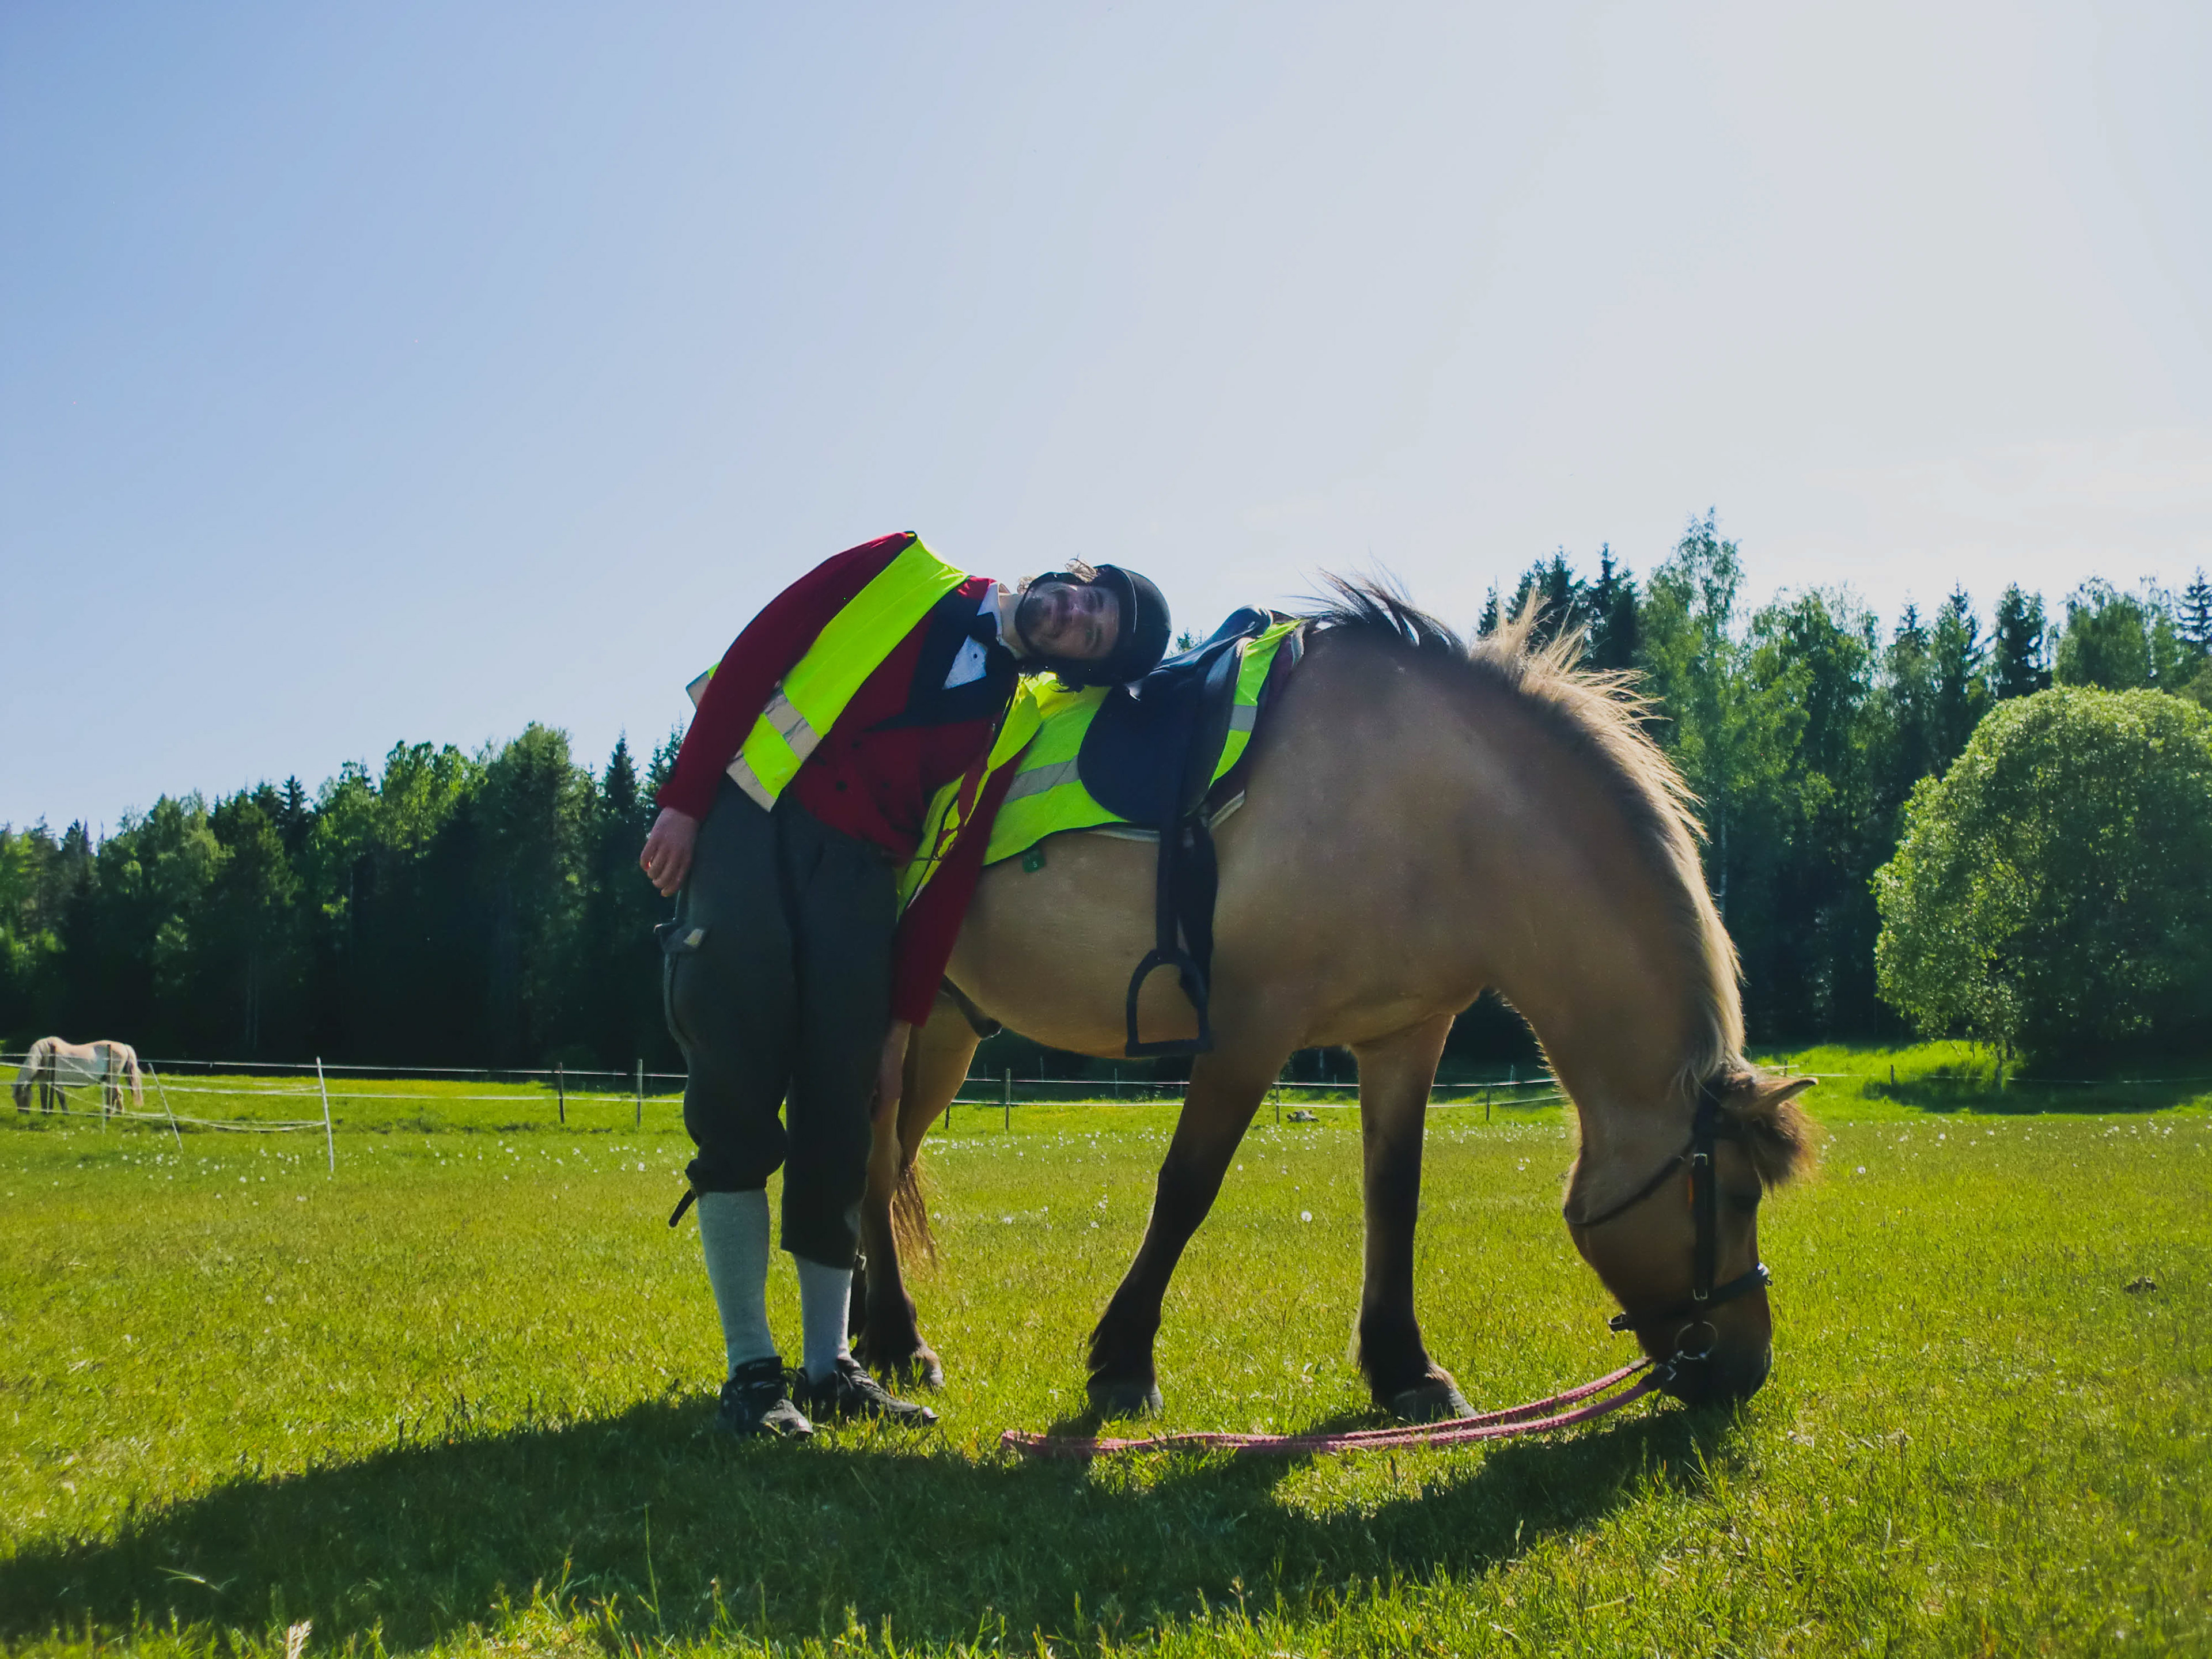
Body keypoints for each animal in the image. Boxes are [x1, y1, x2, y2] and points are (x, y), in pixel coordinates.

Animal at [12, 1038, 145, 1118]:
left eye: (23, 1097)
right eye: (15, 1098)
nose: (22, 1115)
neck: (45, 1055)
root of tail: (124, 1046)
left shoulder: (57, 1083)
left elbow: (62, 1099)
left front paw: (66, 1114)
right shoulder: (43, 1083)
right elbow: (44, 1098)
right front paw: (45, 1113)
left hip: (112, 1079)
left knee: (113, 1095)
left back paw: (110, 1114)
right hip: (110, 1079)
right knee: (118, 1094)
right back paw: (118, 1113)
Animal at [856, 580, 1816, 1419]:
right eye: (1733, 1196)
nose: (1747, 1366)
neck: (1428, 806)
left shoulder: (1406, 1035)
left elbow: (1395, 1194)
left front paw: (1404, 1369)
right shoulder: (1250, 1030)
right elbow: (1187, 1187)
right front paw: (1124, 1362)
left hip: (945, 1034)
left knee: (885, 1162)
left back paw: (872, 1333)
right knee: (868, 1161)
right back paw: (897, 1342)